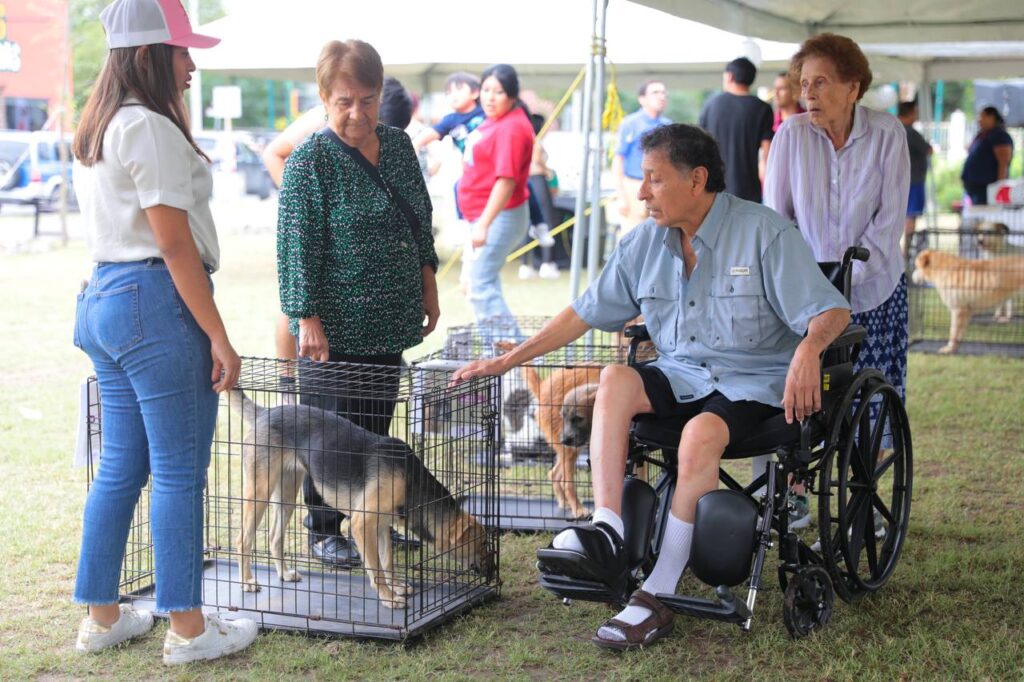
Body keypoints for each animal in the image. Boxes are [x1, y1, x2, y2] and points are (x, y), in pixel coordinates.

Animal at [230, 387, 493, 606]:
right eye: (481, 543)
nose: (492, 573)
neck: (410, 482)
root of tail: (265, 413)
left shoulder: (381, 525)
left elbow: (387, 562)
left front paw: (396, 586)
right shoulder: (361, 524)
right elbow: (376, 569)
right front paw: (388, 598)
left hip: (286, 495)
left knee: (275, 537)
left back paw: (284, 574)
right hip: (259, 494)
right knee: (243, 540)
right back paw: (247, 582)